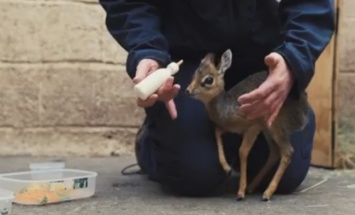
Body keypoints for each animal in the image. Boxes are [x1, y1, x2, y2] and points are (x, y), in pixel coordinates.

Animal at [185, 49, 310, 201]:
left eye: (209, 79)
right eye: (195, 74)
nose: (188, 90)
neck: (227, 108)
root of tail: (304, 112)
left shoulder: (253, 127)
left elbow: (243, 151)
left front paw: (240, 192)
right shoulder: (234, 129)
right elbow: (217, 131)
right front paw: (227, 168)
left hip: (275, 126)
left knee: (287, 152)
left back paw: (266, 193)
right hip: (268, 130)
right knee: (275, 152)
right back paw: (253, 186)